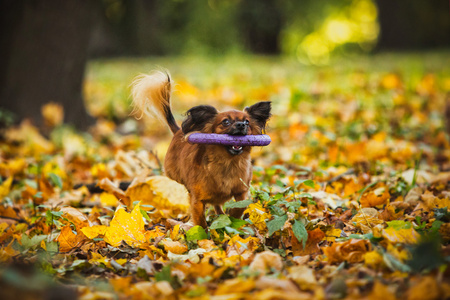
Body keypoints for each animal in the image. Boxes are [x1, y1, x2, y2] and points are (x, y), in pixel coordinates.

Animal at [131, 71, 270, 227]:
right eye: (226, 122)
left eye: (247, 122)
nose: (241, 125)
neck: (228, 163)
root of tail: (178, 131)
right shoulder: (197, 201)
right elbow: (201, 223)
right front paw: (205, 232)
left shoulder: (242, 192)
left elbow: (239, 207)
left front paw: (231, 220)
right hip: (173, 175)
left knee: (217, 205)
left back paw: (221, 214)